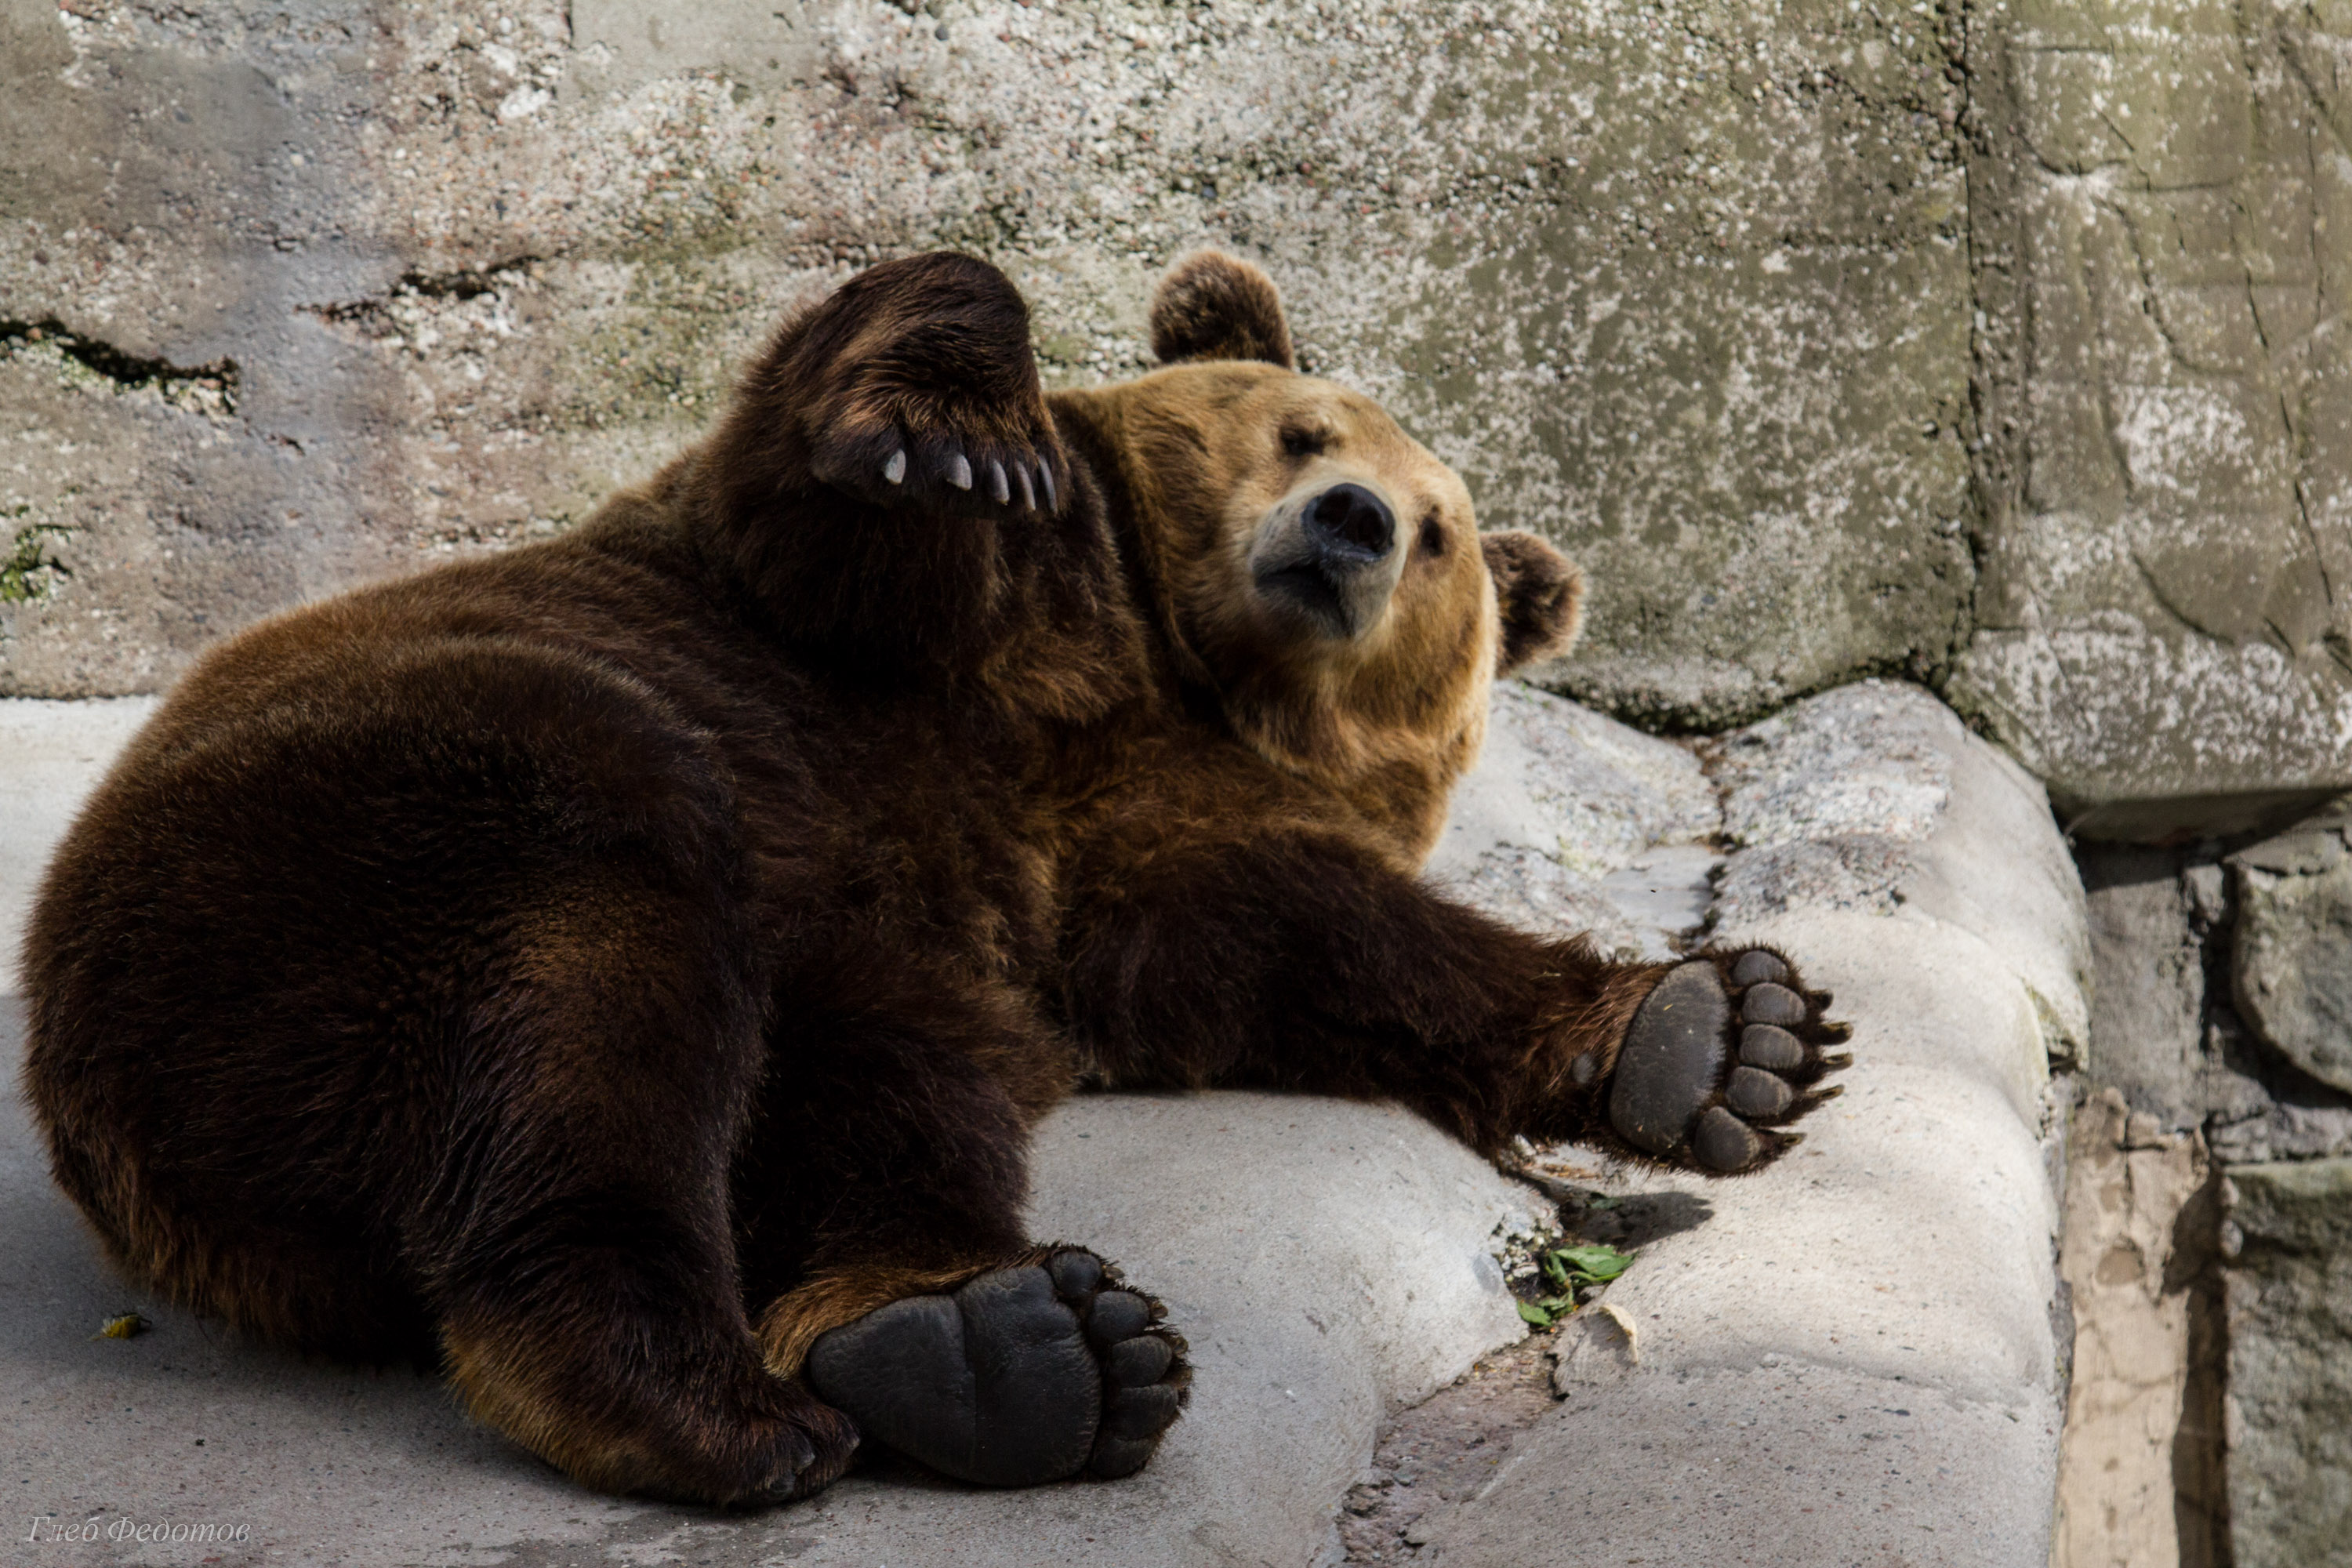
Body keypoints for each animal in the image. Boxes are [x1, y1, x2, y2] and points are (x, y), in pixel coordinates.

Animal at [23, 255, 1853, 1504]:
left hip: (797, 938)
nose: (1348, 522)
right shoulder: (910, 630)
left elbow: (1330, 950)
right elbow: (835, 467)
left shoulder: (1113, 883)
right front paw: (947, 430)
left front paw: (1721, 1033)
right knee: (595, 984)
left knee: (860, 1090)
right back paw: (720, 1401)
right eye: (1302, 426)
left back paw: (997, 1346)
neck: (1182, 684)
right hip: (371, 825)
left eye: (1443, 532)